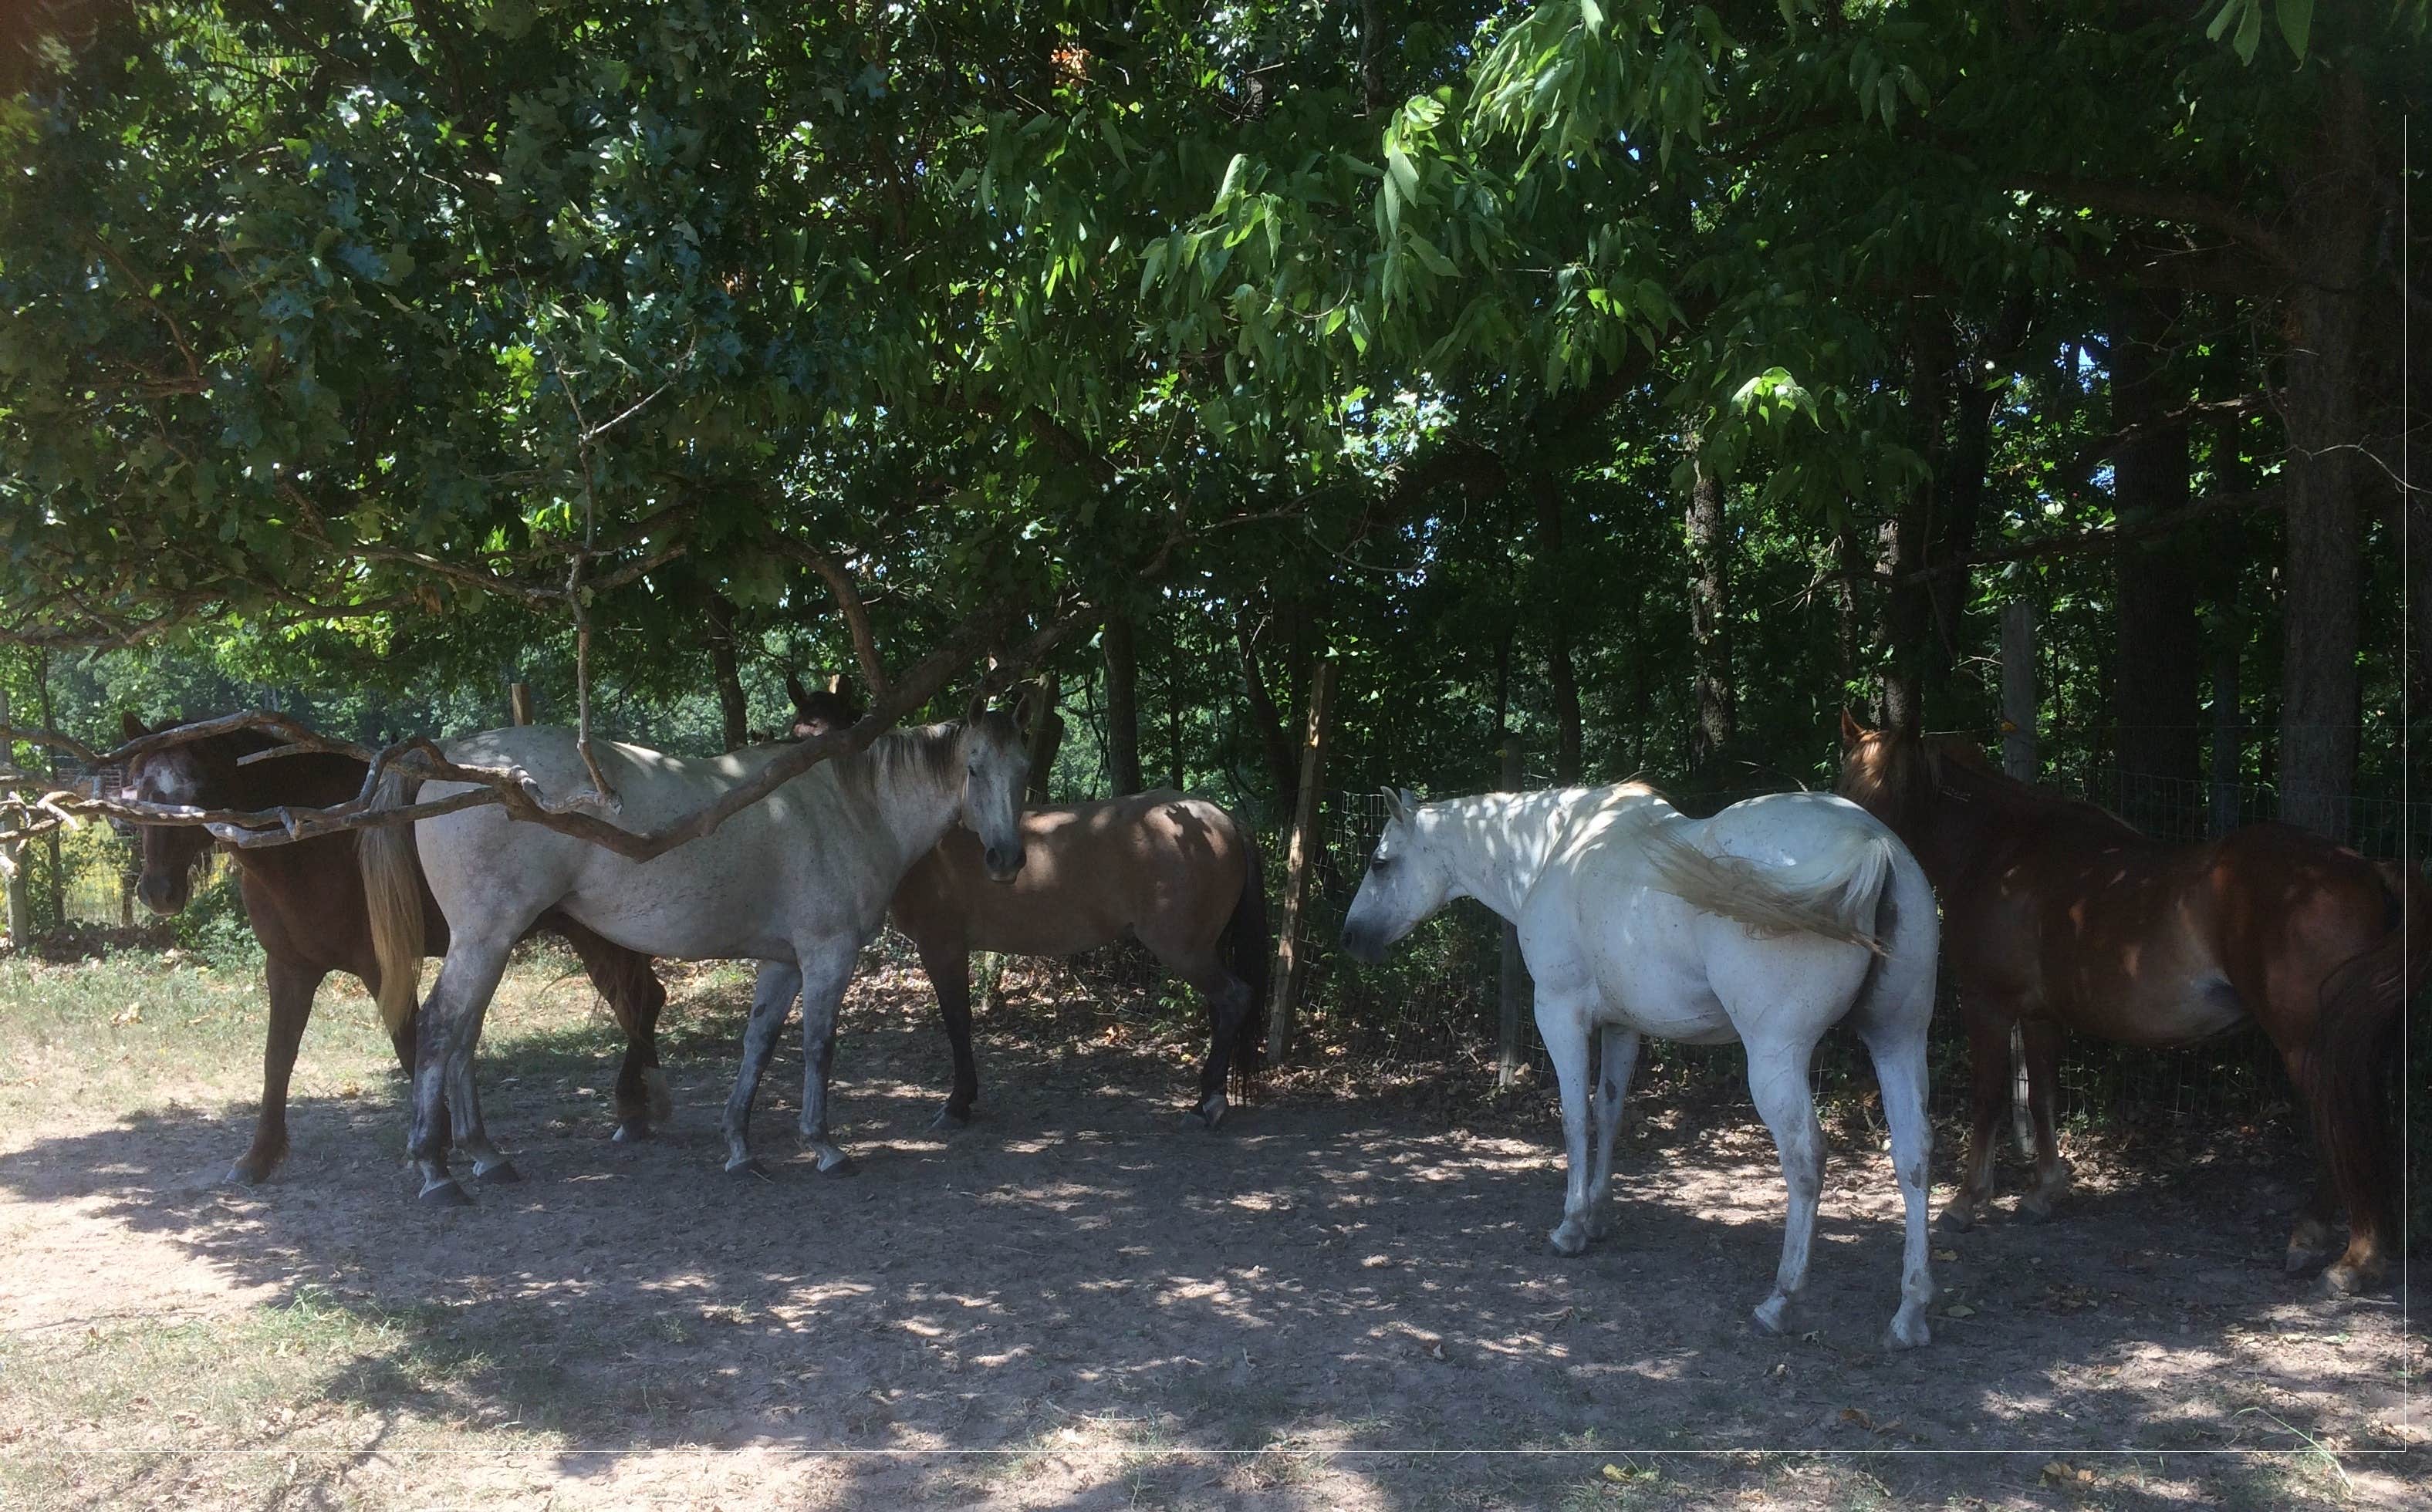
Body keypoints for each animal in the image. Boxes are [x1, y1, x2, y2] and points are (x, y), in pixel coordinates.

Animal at [116, 713, 672, 1185]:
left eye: (195, 791)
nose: (158, 893)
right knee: (644, 1001)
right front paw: (258, 1157)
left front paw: (440, 1145)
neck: (317, 839)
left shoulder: (381, 969)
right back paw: (638, 1109)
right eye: (137, 792)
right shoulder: (290, 968)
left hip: (595, 934)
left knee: (639, 1002)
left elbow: (408, 1048)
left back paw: (632, 1106)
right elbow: (278, 1058)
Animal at [360, 695, 1032, 1203]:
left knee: (464, 1037)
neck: (848, 806)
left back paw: (485, 1155)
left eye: (1023, 770)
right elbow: (819, 1048)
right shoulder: (827, 955)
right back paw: (436, 1171)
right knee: (441, 1028)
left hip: (489, 944)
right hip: (486, 938)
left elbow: (758, 1046)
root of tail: (456, 766)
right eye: (974, 769)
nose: (1006, 859)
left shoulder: (783, 963)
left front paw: (739, 1147)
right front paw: (824, 1146)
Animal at [783, 675, 1269, 1129]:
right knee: (1220, 1009)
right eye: (797, 738)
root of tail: (1223, 817)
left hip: (1183, 949)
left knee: (1233, 999)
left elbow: (957, 1021)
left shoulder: (942, 947)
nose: (1006, 859)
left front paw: (958, 1104)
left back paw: (1206, 1104)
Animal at [1341, 782, 1941, 1349]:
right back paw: (1909, 1314)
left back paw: (1781, 1300)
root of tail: (1871, 842)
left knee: (1805, 1158)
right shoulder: (1621, 1026)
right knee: (1912, 1155)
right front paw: (1599, 1215)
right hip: (1898, 1041)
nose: (1350, 938)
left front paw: (1571, 1227)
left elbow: (1574, 1119)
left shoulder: (1559, 1013)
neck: (1553, 849)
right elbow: (1609, 1113)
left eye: (1380, 862)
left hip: (1777, 1055)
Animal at [1836, 714, 2425, 1294]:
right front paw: (2045, 1194)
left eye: (1887, 793)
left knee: (2340, 1126)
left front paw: (1965, 1202)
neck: (2000, 852)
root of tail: (2367, 868)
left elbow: (1988, 1098)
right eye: (1848, 789)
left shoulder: (1988, 1004)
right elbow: (2043, 1098)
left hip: (2310, 1046)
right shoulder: (2041, 1015)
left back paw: (2350, 1259)